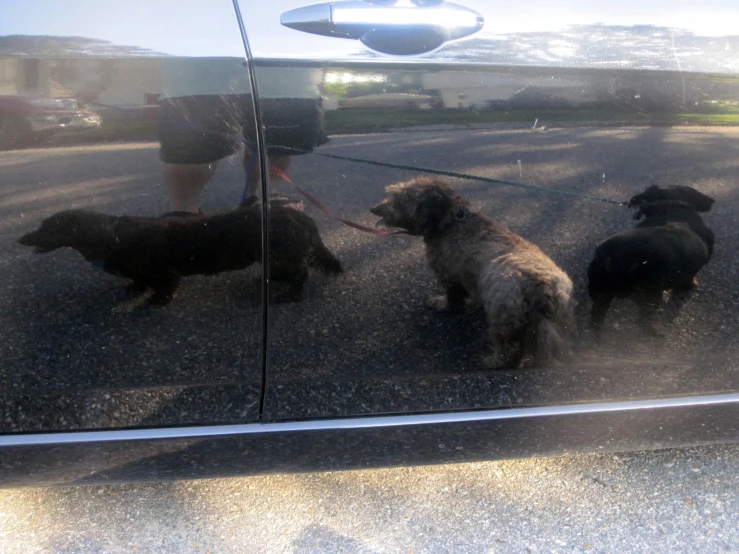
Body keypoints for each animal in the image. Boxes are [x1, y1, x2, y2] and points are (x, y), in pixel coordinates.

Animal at [16, 199, 342, 302]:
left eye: (48, 226)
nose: (20, 239)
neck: (113, 237)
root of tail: (301, 216)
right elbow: (139, 281)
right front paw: (135, 289)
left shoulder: (163, 273)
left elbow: (163, 287)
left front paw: (156, 301)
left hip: (282, 259)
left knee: (300, 274)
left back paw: (288, 295)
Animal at [372, 177, 576, 366]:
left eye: (399, 199)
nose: (374, 209)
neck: (451, 221)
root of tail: (540, 286)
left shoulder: (449, 276)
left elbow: (453, 297)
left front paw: (442, 304)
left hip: (501, 318)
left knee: (509, 350)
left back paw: (493, 362)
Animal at [588, 183, 712, 334]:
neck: (672, 209)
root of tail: (616, 255)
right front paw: (692, 284)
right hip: (651, 296)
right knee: (643, 321)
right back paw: (657, 331)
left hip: (600, 294)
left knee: (596, 320)